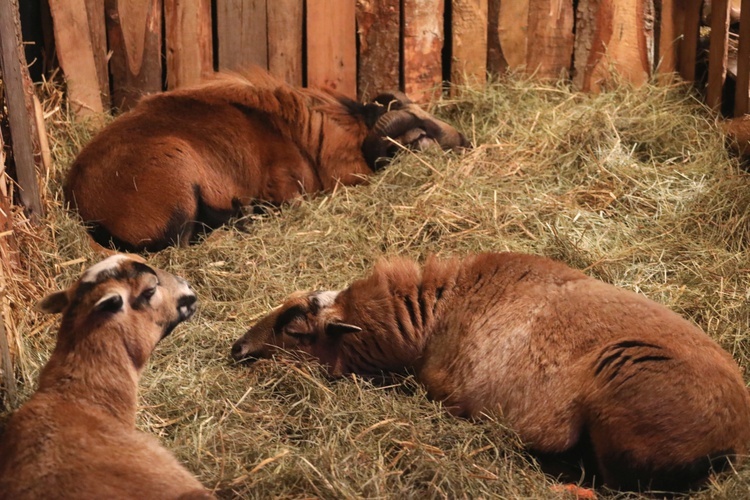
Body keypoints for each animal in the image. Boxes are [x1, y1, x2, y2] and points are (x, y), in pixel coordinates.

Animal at [64, 68, 468, 252]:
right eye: (420, 134)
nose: (464, 141)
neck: (310, 135)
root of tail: (79, 200)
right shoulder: (287, 187)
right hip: (178, 180)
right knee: (185, 239)